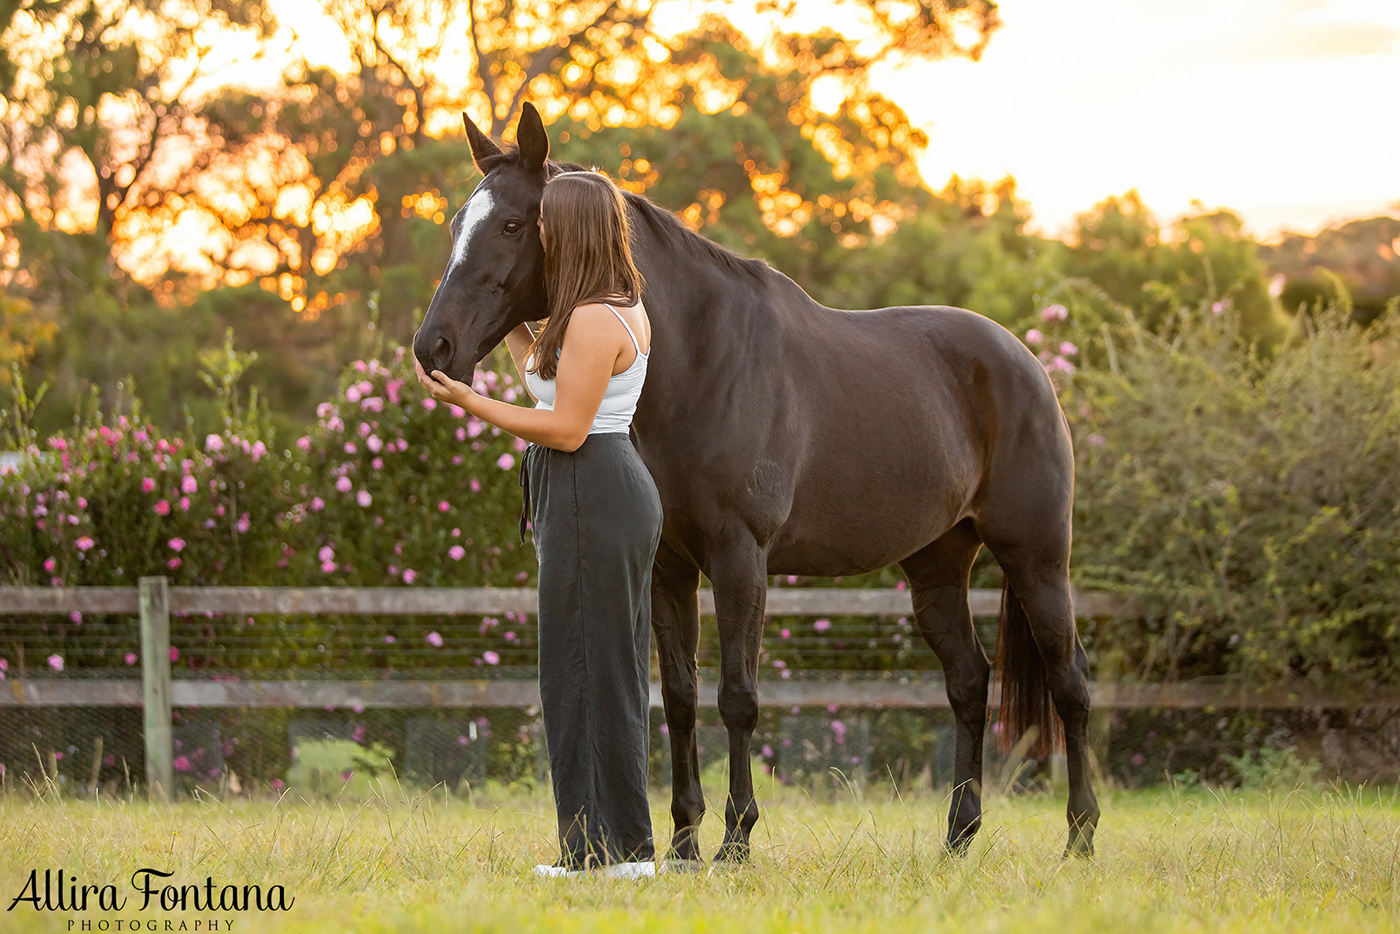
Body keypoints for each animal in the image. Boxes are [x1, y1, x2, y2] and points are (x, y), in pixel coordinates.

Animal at [408, 102, 1097, 862]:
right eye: (455, 224)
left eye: (509, 224)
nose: (433, 349)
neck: (700, 361)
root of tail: (1026, 362)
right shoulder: (668, 567)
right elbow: (680, 698)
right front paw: (682, 842)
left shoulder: (741, 557)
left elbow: (737, 696)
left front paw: (735, 840)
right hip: (937, 566)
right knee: (969, 683)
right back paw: (958, 838)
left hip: (1036, 558)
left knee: (1069, 683)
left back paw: (1079, 838)